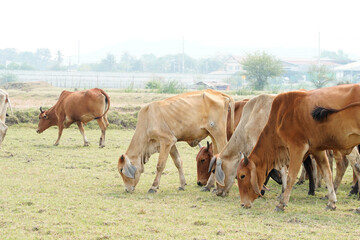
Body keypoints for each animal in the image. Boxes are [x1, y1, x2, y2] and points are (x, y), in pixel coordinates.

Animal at [236, 83, 360, 211]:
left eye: (242, 176)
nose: (243, 203)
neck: (281, 116)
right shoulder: (318, 150)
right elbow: (327, 174)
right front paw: (331, 202)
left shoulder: (297, 148)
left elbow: (291, 176)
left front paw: (282, 203)